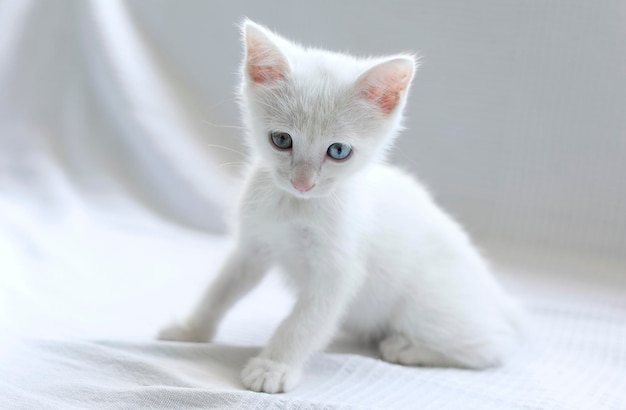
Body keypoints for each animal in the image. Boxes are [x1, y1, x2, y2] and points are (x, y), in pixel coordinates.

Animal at [158, 20, 524, 394]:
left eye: (338, 151)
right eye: (281, 140)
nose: (302, 183)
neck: (296, 206)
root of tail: (500, 301)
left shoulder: (337, 271)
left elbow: (303, 321)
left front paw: (273, 367)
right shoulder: (253, 247)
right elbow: (220, 289)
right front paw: (191, 329)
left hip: (428, 310)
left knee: (493, 347)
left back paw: (406, 347)